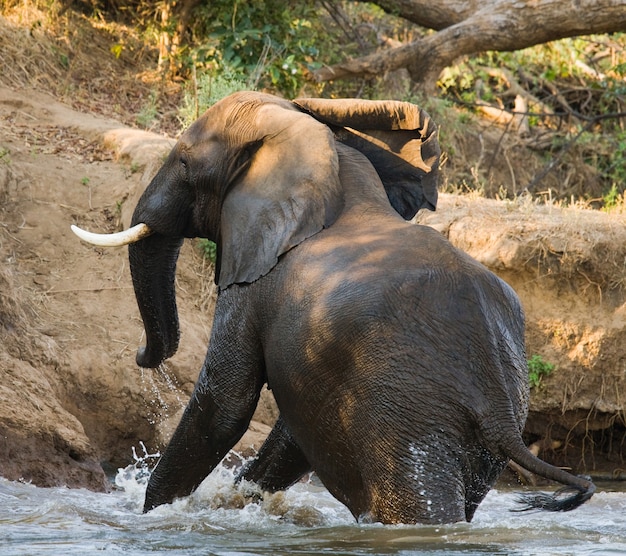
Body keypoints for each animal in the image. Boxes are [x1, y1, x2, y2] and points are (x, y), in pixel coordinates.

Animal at [70, 91, 592, 524]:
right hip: (483, 430)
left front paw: (155, 513)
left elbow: (225, 402)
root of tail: (500, 411)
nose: (142, 355)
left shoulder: (257, 279)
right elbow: (289, 428)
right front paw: (235, 502)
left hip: (407, 418)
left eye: (182, 159)